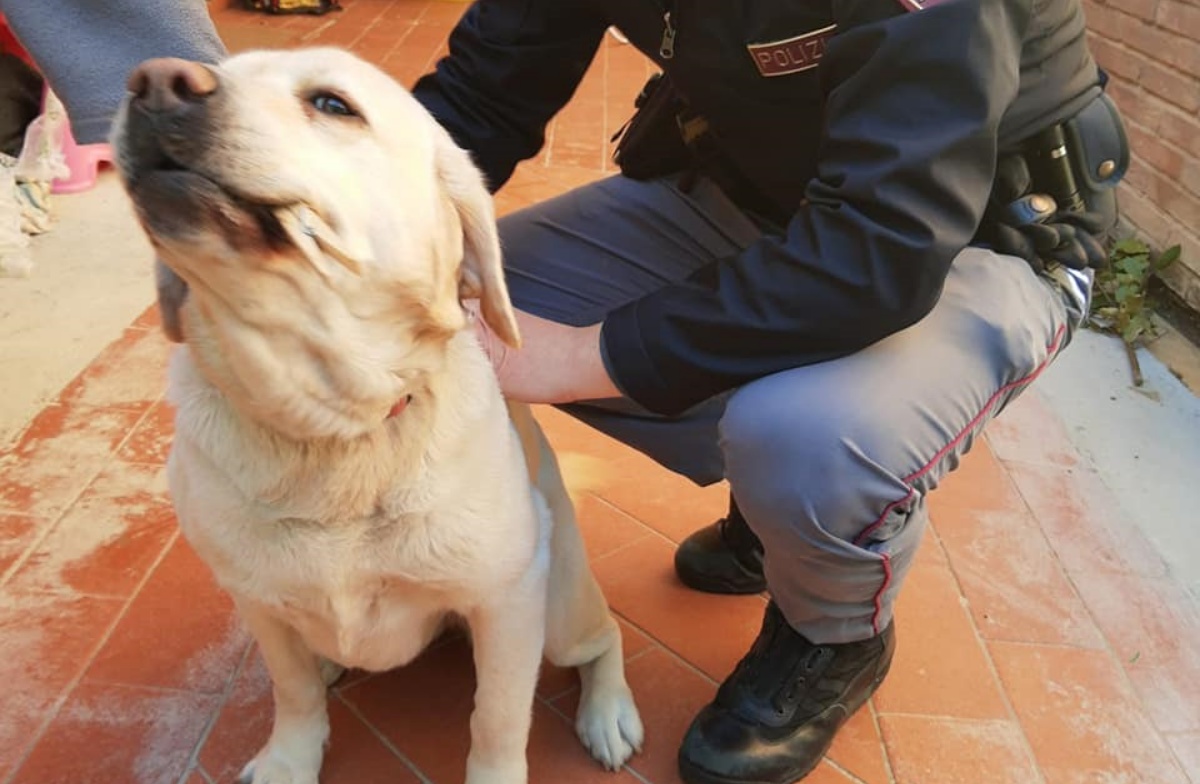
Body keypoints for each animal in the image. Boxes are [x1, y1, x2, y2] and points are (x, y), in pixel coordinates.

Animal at [108, 47, 643, 782]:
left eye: (333, 105)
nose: (155, 82)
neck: (332, 428)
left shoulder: (508, 602)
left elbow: (498, 719)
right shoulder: (256, 600)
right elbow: (293, 690)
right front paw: (290, 759)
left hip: (560, 608)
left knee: (604, 636)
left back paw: (608, 712)